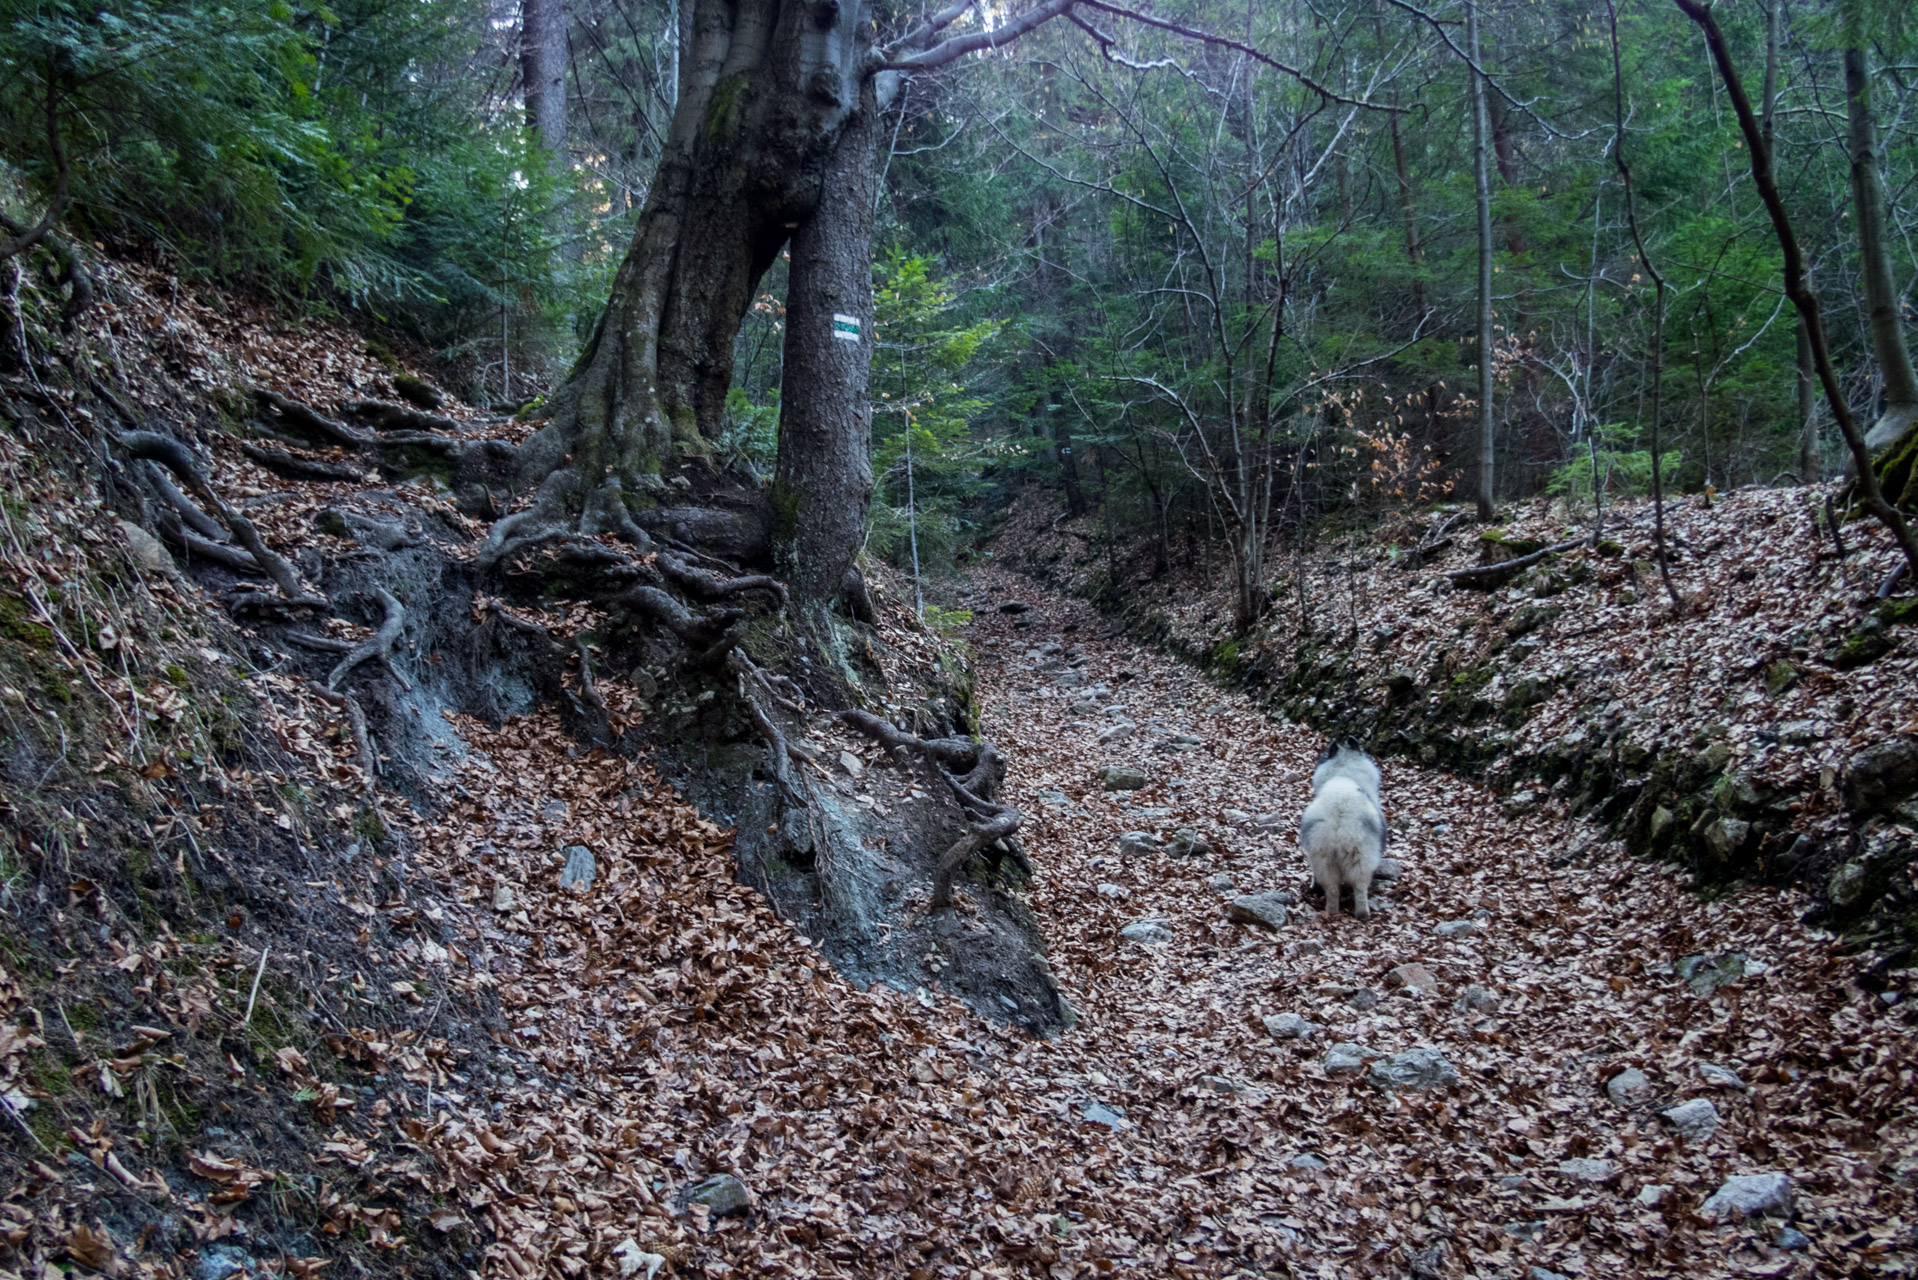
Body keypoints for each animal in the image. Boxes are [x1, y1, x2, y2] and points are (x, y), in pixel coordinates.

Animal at [1296, 740, 1388, 921]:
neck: (1344, 773)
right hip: (1360, 854)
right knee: (1359, 887)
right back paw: (1362, 913)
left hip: (1323, 857)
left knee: (1331, 888)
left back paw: (1331, 911)